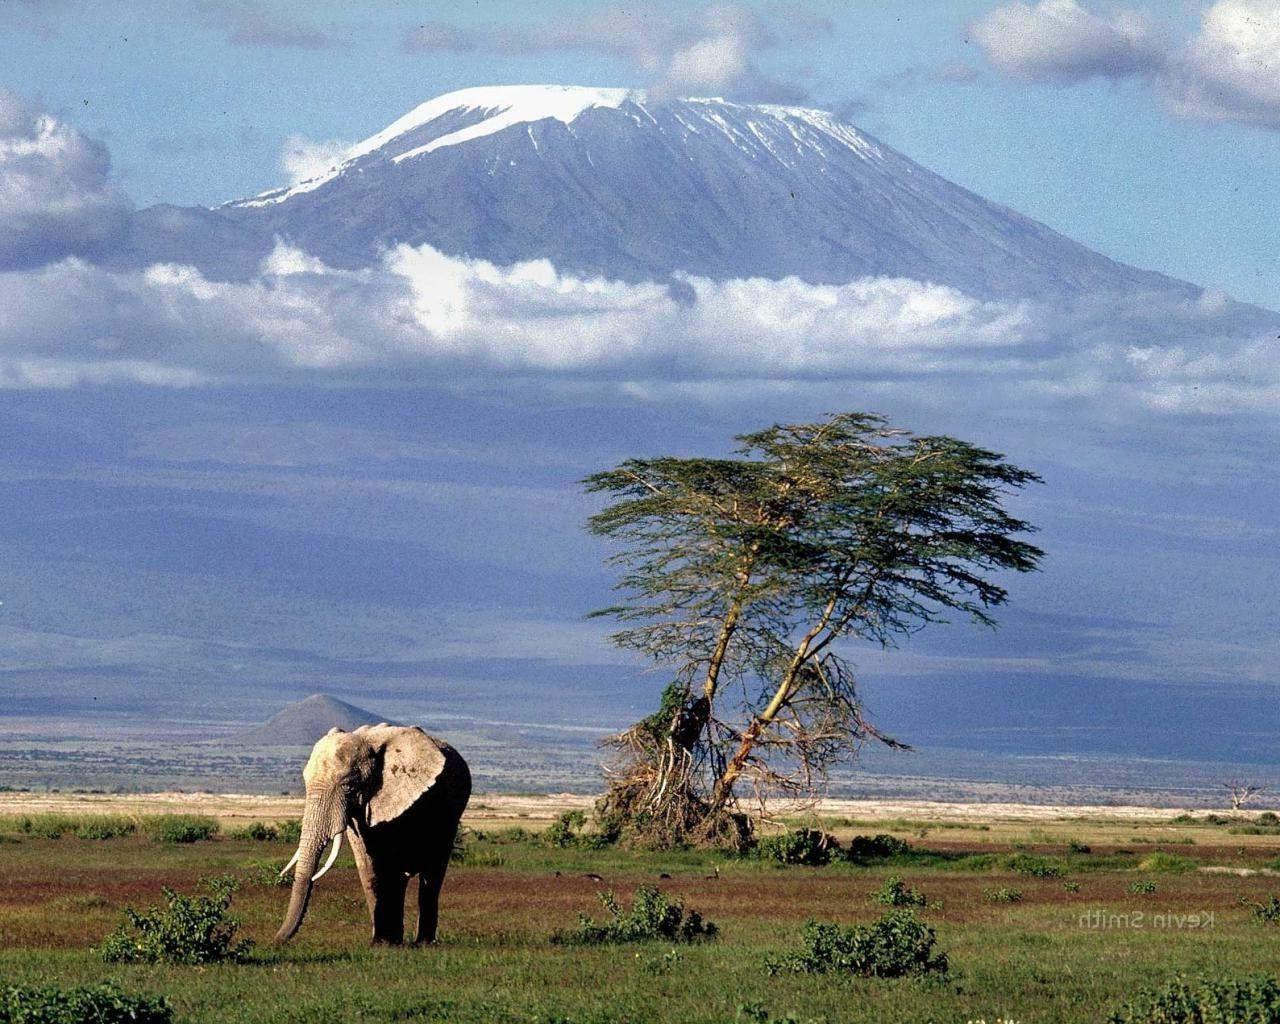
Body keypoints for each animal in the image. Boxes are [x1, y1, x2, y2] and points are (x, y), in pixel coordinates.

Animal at [275, 721, 471, 947]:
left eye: (348, 786)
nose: (275, 941)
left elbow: (390, 862)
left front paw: (386, 943)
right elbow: (367, 863)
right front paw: (380, 943)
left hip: (451, 811)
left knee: (433, 871)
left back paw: (423, 943)